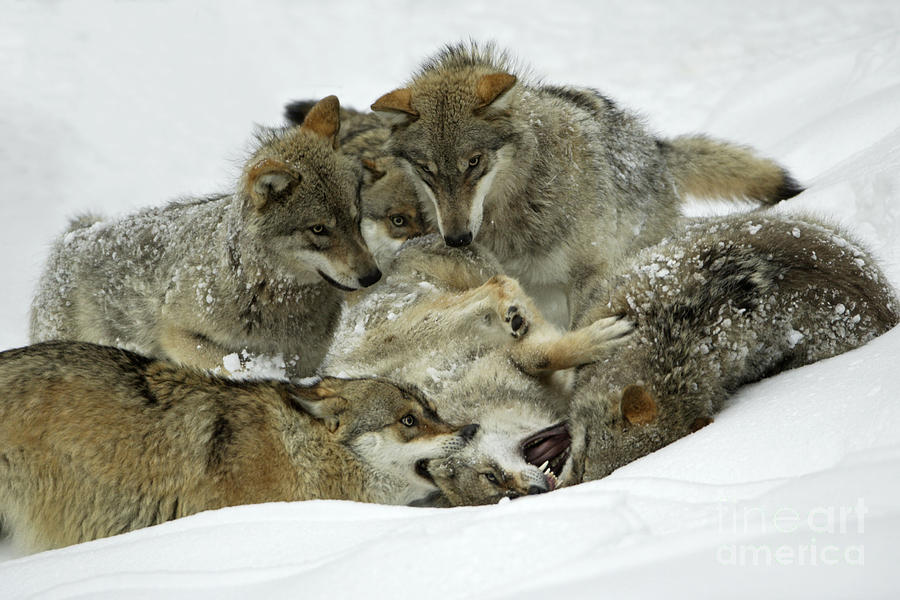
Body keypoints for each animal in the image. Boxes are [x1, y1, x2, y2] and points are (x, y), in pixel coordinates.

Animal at [29, 96, 378, 378]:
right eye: (319, 229)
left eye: (356, 218)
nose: (373, 276)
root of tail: (73, 236)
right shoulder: (177, 334)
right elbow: (236, 366)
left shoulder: (306, 363)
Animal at [370, 41, 804, 326]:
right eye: (427, 170)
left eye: (473, 163)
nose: (457, 239)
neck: (514, 206)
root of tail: (655, 148)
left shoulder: (587, 274)